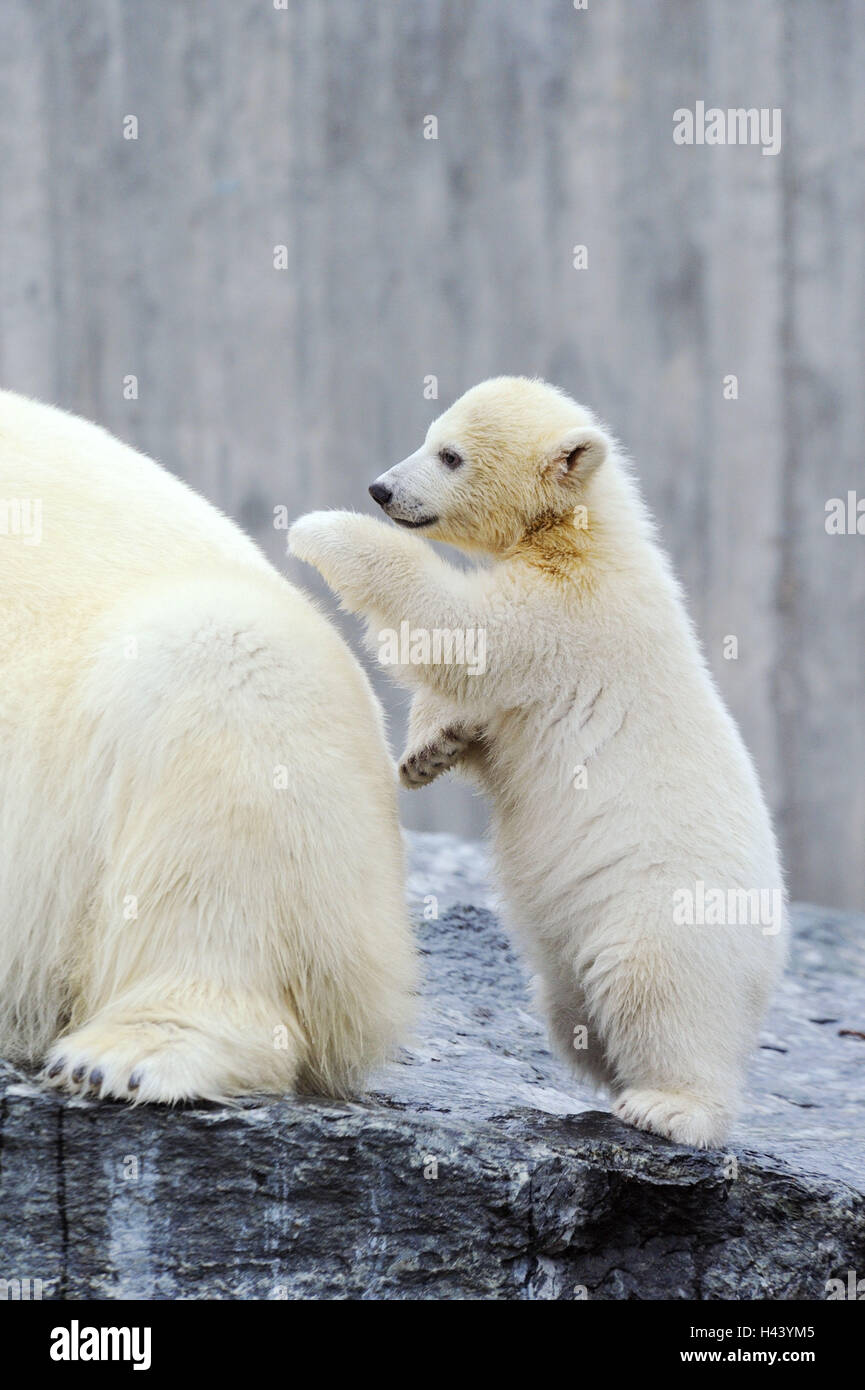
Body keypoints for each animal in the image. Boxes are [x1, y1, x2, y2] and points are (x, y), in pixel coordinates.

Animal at [289, 375, 784, 1145]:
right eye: (431, 438)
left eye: (450, 454)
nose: (380, 489)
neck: (585, 533)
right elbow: (475, 704)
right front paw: (428, 750)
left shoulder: (569, 614)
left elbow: (459, 628)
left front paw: (319, 530)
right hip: (569, 962)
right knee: (570, 1010)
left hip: (667, 912)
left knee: (658, 992)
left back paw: (668, 1105)